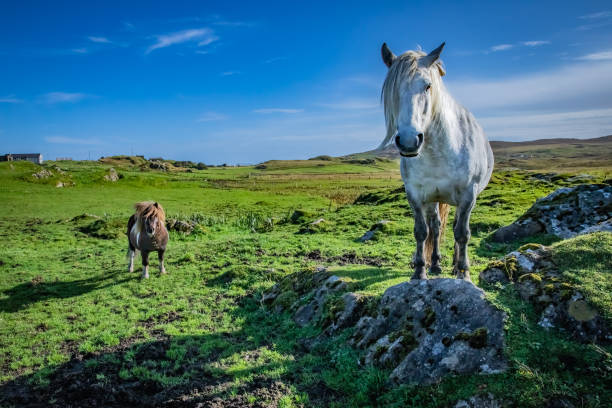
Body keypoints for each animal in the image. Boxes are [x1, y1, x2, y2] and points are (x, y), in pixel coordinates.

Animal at [380, 43, 494, 282]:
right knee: (436, 226)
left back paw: (455, 266)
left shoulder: (468, 195)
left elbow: (462, 234)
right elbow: (422, 231)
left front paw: (464, 274)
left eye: (428, 86)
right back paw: (435, 265)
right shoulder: (414, 193)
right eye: (394, 91)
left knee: (455, 227)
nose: (409, 141)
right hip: (434, 199)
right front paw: (419, 271)